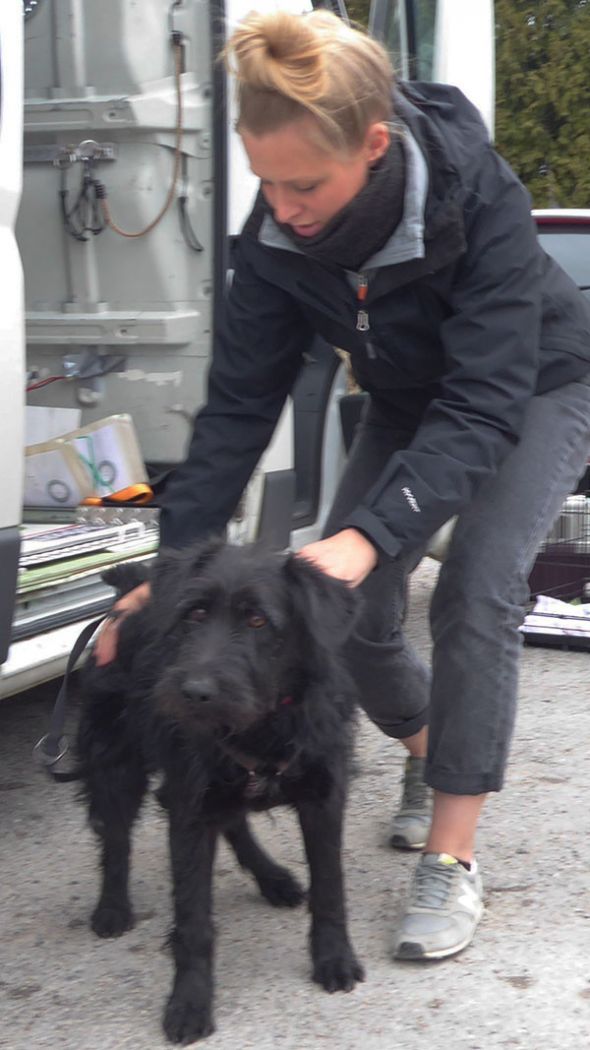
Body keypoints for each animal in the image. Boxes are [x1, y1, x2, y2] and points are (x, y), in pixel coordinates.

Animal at [75, 538, 364, 1045]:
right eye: (194, 613)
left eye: (258, 620)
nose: (194, 692)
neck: (262, 725)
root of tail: (130, 590)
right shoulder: (190, 812)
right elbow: (193, 921)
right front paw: (189, 1002)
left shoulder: (323, 797)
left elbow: (331, 886)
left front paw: (333, 957)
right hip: (117, 768)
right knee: (115, 839)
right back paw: (112, 907)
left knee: (234, 821)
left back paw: (273, 879)